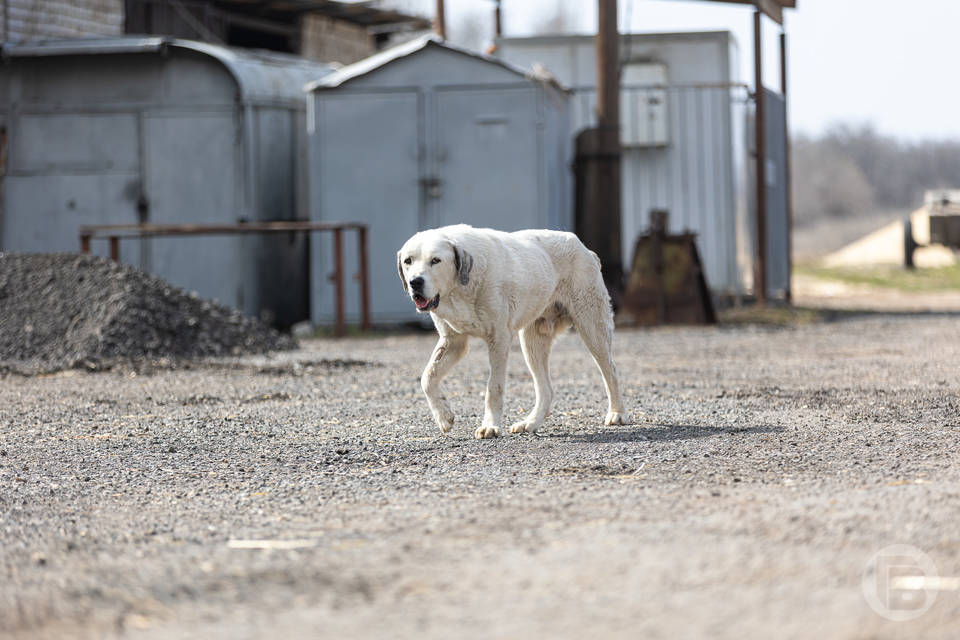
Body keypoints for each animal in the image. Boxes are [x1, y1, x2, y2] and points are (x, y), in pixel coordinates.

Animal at [396, 222, 628, 438]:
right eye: (408, 261)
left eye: (435, 261)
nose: (415, 282)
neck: (460, 288)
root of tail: (584, 249)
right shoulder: (453, 341)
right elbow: (428, 377)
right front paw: (443, 416)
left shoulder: (498, 339)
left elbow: (493, 387)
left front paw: (490, 426)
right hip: (533, 341)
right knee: (546, 389)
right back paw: (530, 423)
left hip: (592, 327)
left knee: (611, 370)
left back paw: (617, 414)